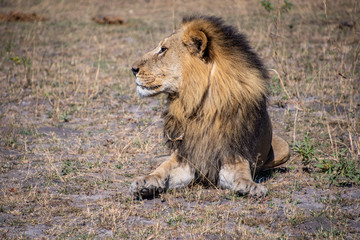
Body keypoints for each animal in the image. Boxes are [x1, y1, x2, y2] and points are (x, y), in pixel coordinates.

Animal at [129, 15, 290, 198]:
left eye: (163, 49)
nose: (133, 69)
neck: (202, 106)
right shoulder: (186, 158)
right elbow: (161, 170)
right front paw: (145, 182)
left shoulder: (233, 156)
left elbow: (242, 175)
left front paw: (251, 186)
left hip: (285, 148)